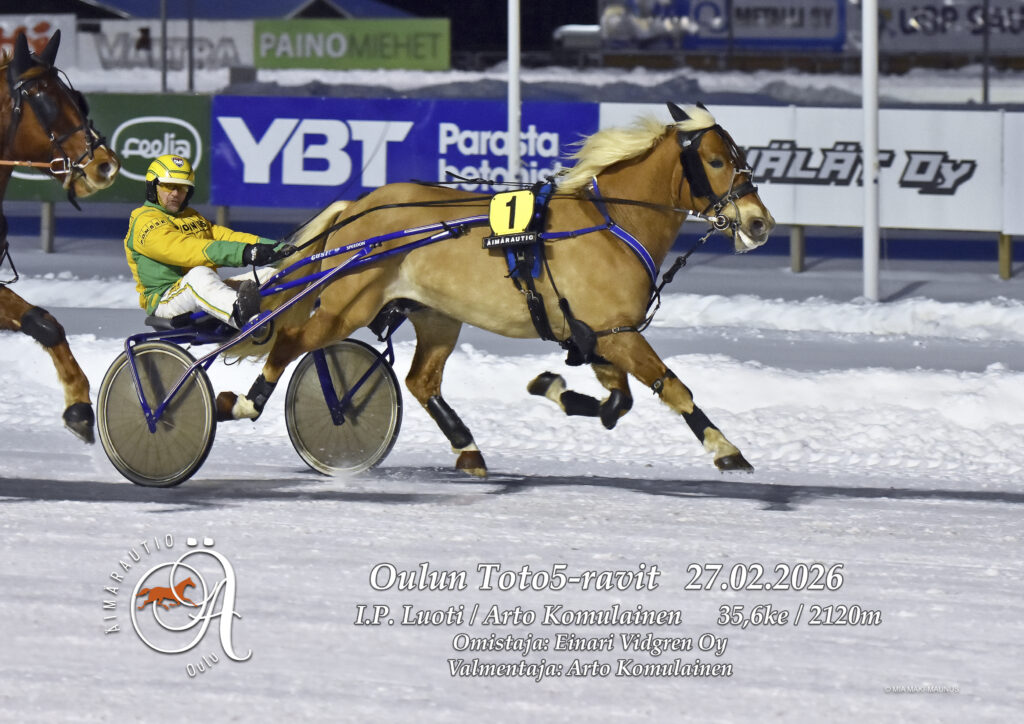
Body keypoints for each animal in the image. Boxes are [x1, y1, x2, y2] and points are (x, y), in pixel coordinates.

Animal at [225, 102, 774, 476]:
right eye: (716, 160)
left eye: (741, 157)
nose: (760, 223)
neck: (611, 223)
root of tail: (360, 208)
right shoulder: (618, 334)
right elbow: (673, 388)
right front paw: (727, 450)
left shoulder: (600, 335)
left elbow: (618, 403)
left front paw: (552, 387)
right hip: (347, 306)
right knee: (291, 341)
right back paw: (245, 402)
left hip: (436, 315)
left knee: (421, 381)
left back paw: (468, 449)